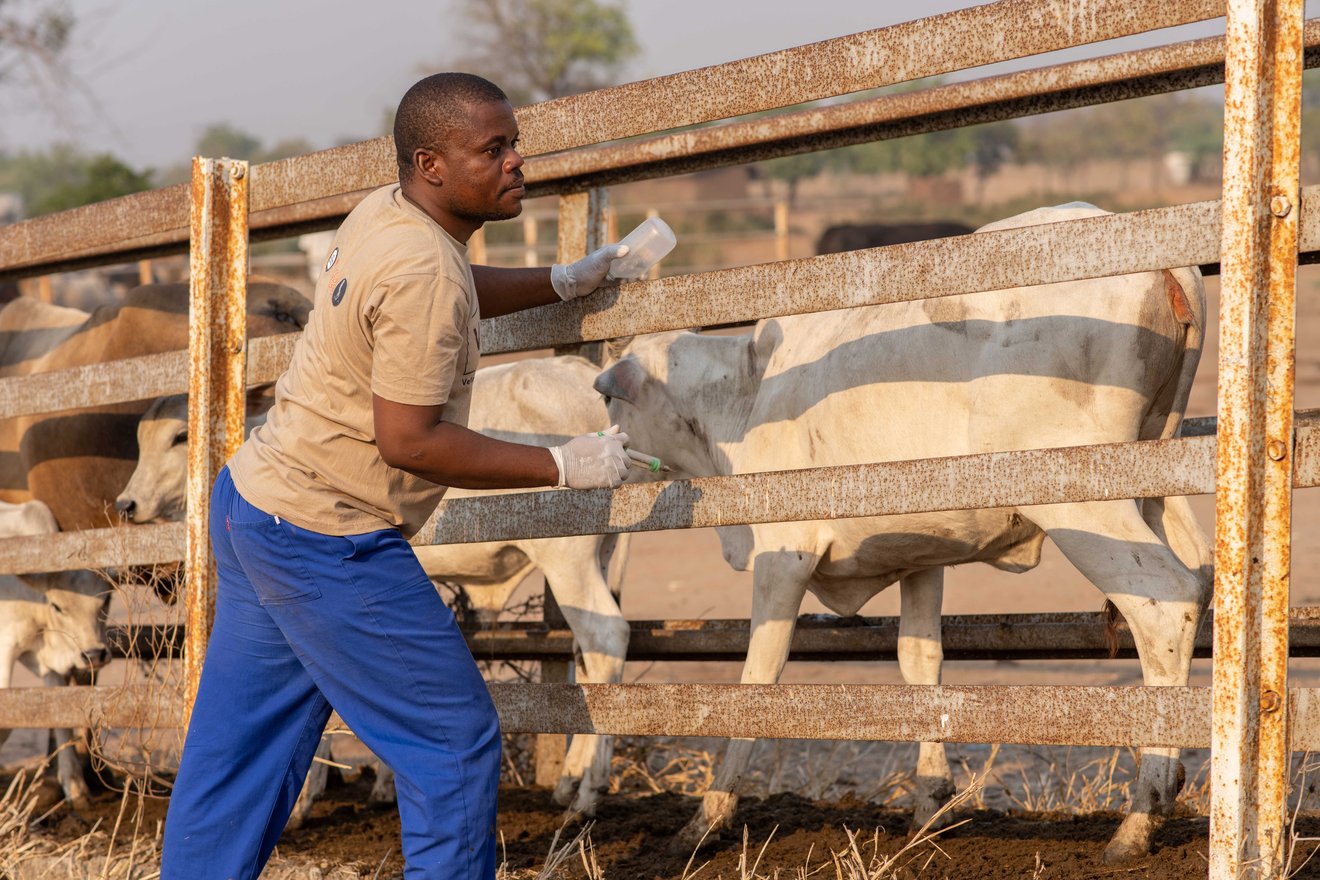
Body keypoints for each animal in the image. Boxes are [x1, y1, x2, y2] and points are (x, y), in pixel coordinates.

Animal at [0, 498, 111, 807]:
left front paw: (74, 785)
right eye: (58, 606)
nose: (94, 655)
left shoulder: (48, 663)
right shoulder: (5, 646)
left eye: (106, 601)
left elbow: (59, 715)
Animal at [594, 203, 1209, 865]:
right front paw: (929, 809)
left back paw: (1142, 814)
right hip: (1157, 481)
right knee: (1200, 582)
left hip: (1083, 501)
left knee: (1164, 608)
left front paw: (705, 820)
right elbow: (921, 664)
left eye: (613, 404)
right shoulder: (923, 556)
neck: (745, 398)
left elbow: (759, 677)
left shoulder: (784, 553)